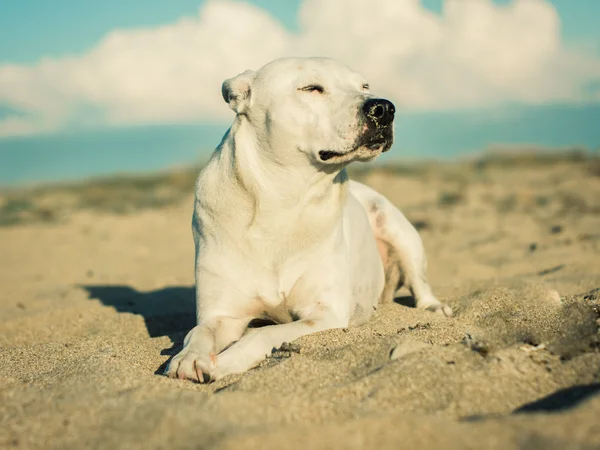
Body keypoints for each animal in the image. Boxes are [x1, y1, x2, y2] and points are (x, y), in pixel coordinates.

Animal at [164, 57, 450, 384]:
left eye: (365, 86)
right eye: (312, 88)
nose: (384, 107)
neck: (283, 202)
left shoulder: (326, 312)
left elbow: (261, 335)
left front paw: (226, 362)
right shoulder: (222, 314)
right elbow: (197, 333)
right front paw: (188, 358)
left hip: (398, 228)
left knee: (420, 283)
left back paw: (435, 307)